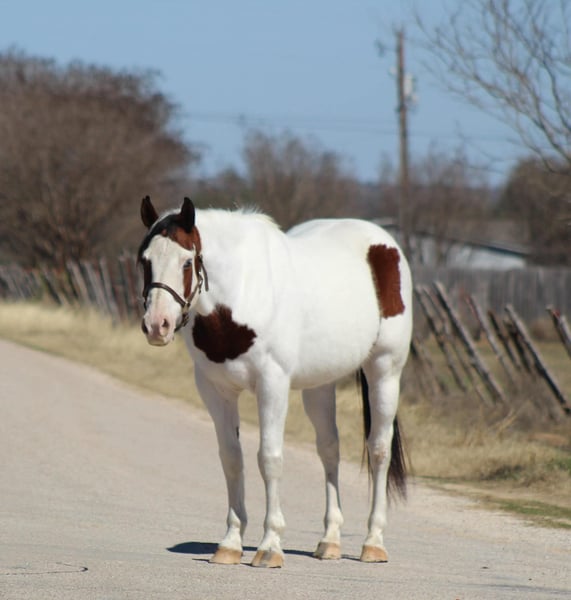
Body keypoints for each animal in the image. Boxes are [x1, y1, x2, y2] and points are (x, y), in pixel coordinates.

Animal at [138, 195, 413, 568]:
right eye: (145, 260)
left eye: (186, 261)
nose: (157, 325)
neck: (241, 293)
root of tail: (383, 243)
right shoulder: (215, 390)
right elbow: (231, 458)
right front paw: (230, 543)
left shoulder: (272, 385)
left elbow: (269, 458)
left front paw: (269, 546)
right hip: (319, 386)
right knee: (329, 450)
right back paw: (330, 541)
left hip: (385, 370)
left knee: (379, 449)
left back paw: (373, 542)